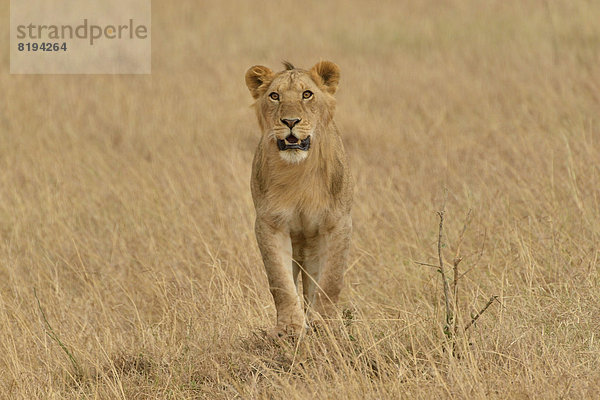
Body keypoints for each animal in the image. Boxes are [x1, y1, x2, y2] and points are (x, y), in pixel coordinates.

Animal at [246, 61, 354, 336]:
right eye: (275, 96)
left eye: (307, 94)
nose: (290, 121)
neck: (298, 170)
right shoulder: (270, 224)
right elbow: (280, 282)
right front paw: (289, 327)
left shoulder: (338, 223)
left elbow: (331, 280)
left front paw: (325, 323)